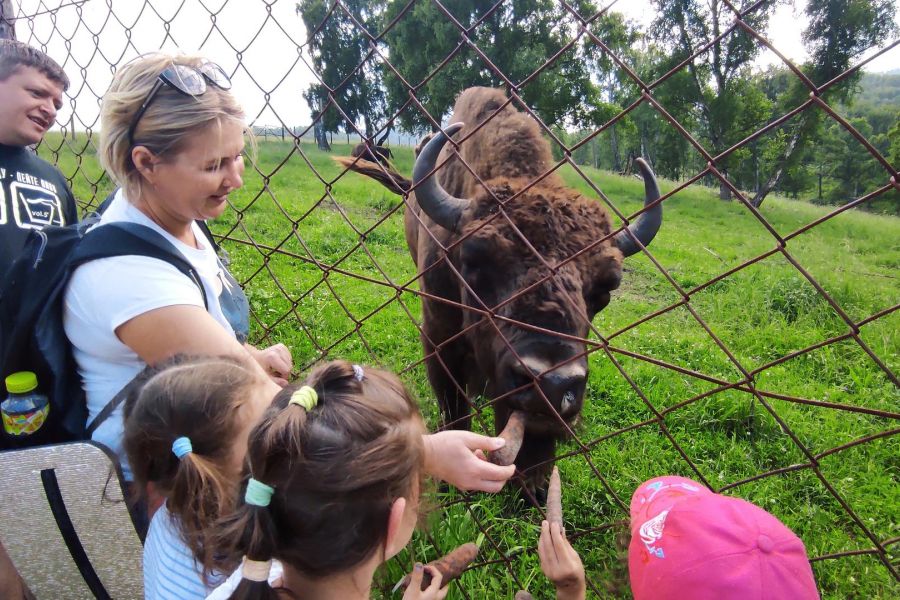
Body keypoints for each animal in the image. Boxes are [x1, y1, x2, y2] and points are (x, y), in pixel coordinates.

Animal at [338, 85, 660, 496]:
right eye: (474, 259)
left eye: (606, 285)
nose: (551, 385)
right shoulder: (439, 336)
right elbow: (454, 408)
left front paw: (533, 490)